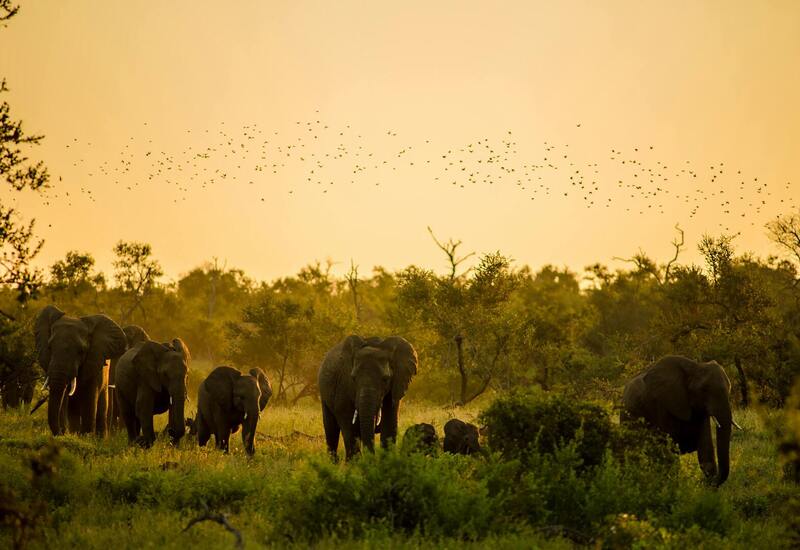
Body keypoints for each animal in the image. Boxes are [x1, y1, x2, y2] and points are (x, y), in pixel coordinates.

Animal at [34, 305, 127, 436]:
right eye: (50, 347)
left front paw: (86, 436)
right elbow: (64, 399)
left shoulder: (94, 362)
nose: (61, 433)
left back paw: (99, 438)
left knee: (101, 408)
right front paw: (71, 435)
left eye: (81, 351)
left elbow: (89, 400)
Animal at [621, 355, 740, 486]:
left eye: (729, 388)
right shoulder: (662, 405)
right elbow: (669, 451)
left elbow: (705, 449)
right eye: (703, 390)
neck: (695, 367)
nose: (708, 483)